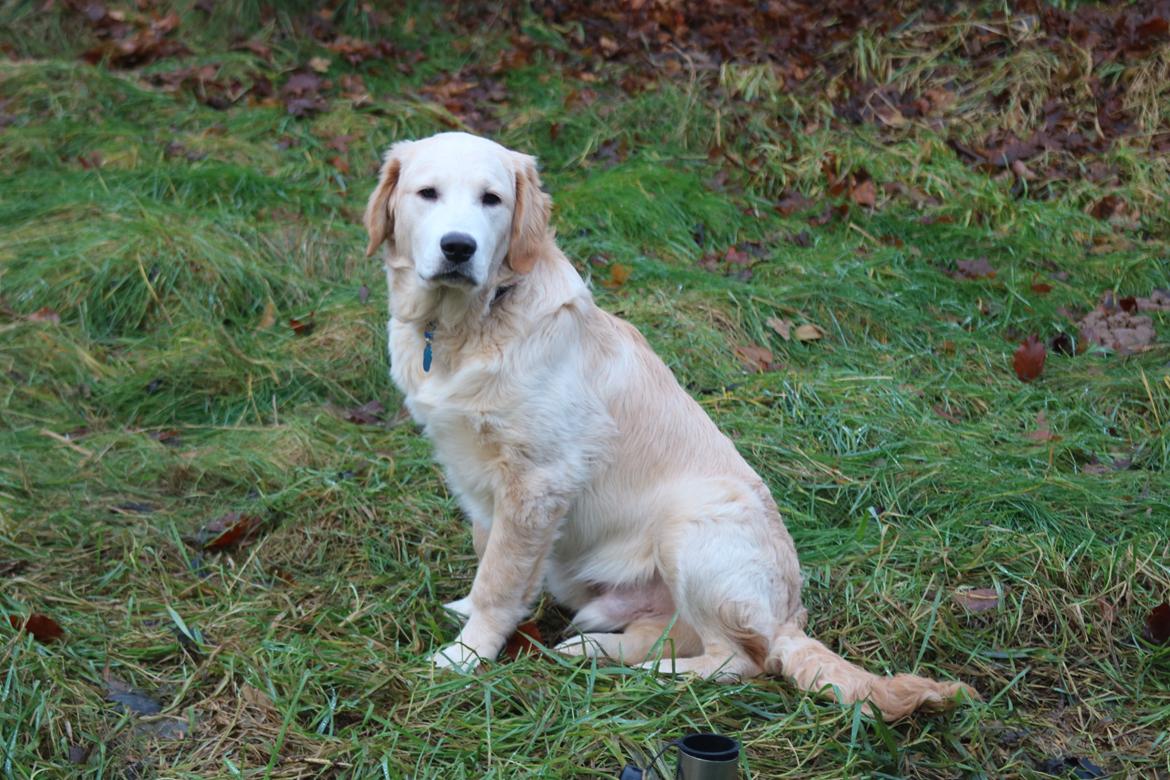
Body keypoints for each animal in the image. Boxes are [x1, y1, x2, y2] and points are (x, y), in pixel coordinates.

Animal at [360, 132, 973, 720]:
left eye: (492, 200)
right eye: (427, 193)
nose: (458, 247)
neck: (466, 326)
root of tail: (789, 617)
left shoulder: (538, 480)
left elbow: (500, 577)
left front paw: (467, 653)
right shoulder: (478, 475)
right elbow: (489, 552)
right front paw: (469, 614)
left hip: (694, 523)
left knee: (741, 660)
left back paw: (657, 676)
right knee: (667, 635)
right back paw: (594, 651)